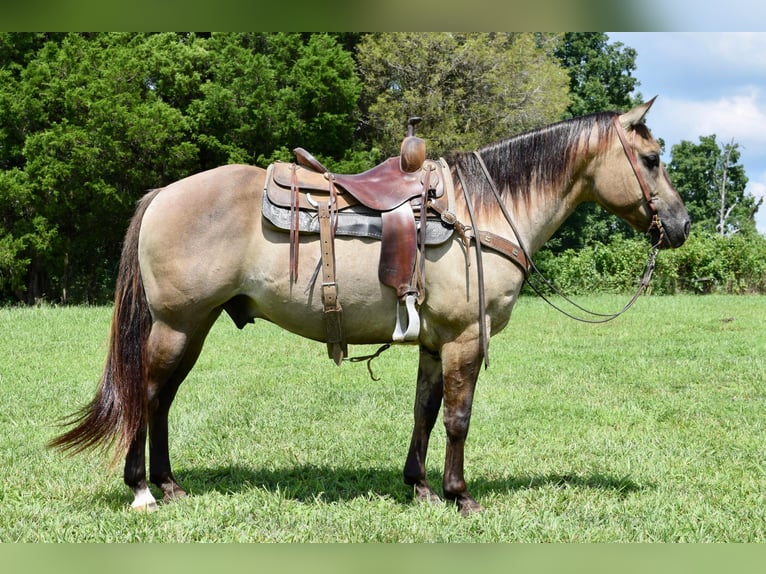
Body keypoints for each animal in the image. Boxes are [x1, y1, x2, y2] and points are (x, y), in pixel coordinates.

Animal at [51, 100, 692, 516]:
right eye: (652, 158)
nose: (682, 225)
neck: (483, 213)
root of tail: (165, 193)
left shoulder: (436, 342)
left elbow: (425, 413)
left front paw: (421, 487)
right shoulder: (465, 339)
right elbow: (458, 419)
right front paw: (461, 496)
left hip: (194, 327)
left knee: (161, 399)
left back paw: (169, 484)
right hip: (176, 325)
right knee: (146, 394)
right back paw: (142, 490)